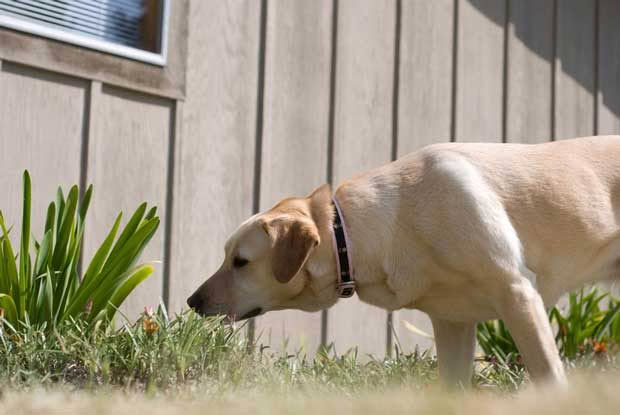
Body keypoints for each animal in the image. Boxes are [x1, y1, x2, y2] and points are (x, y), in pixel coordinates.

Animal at [188, 136, 620, 386]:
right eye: (227, 257)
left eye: (240, 262)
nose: (192, 302)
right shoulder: (453, 323)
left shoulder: (517, 294)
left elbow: (551, 378)